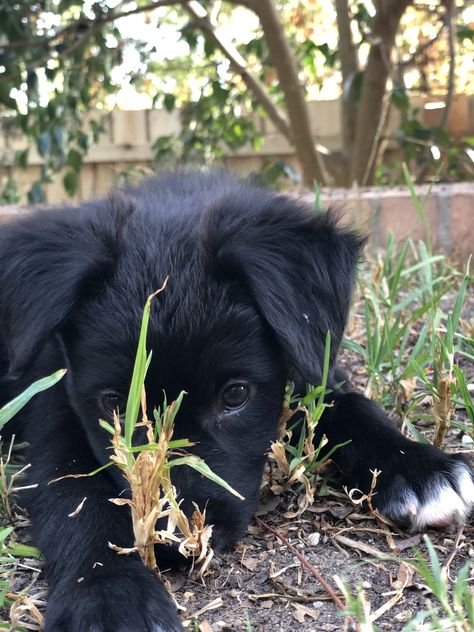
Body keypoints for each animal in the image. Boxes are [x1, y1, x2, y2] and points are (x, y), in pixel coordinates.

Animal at [0, 170, 472, 628]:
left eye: (236, 395)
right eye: (116, 404)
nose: (180, 543)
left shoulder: (310, 360)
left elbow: (350, 405)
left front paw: (419, 466)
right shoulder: (55, 409)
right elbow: (77, 498)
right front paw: (109, 596)